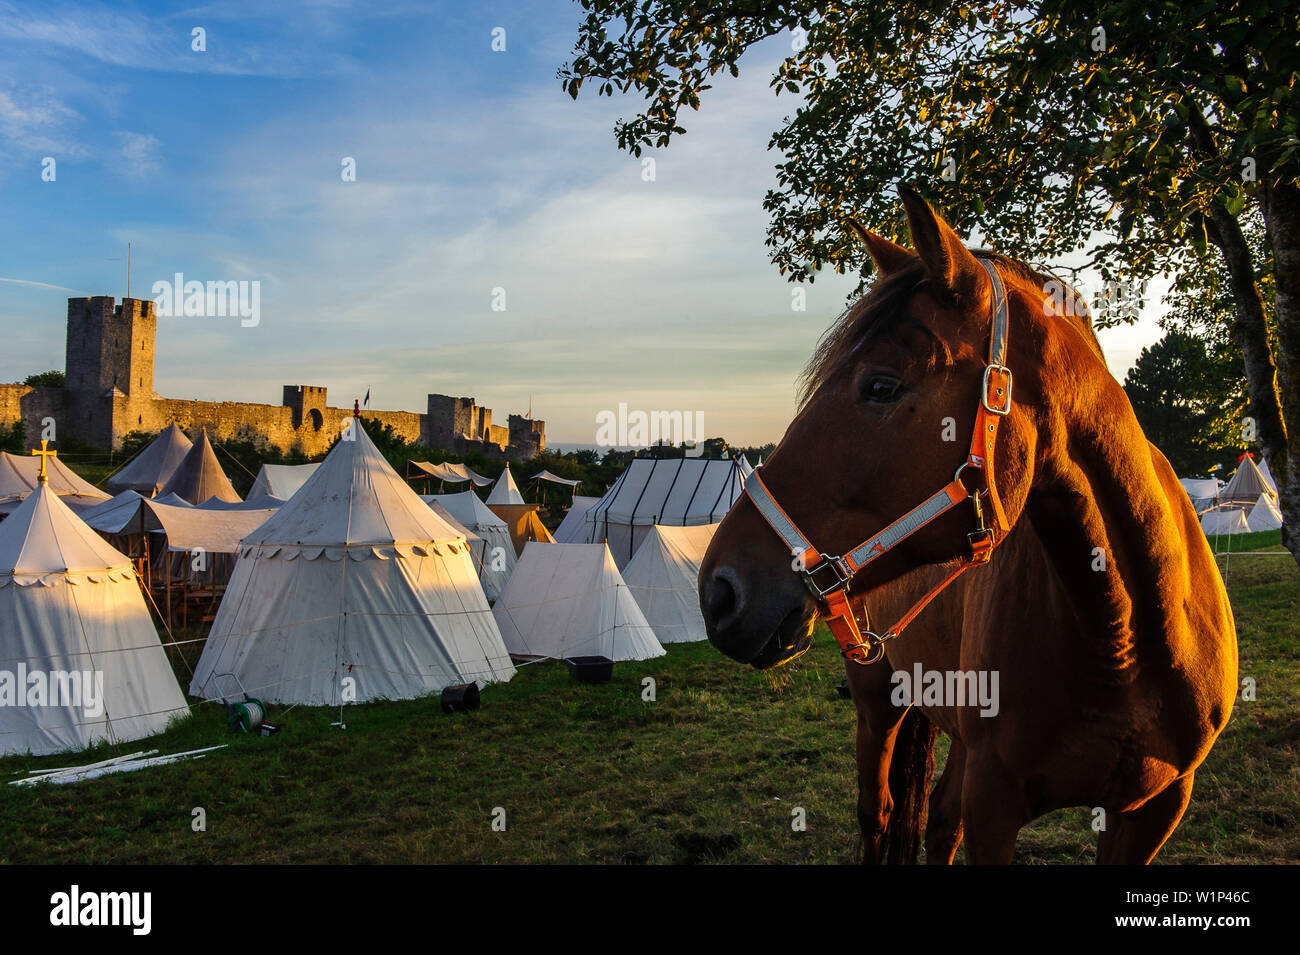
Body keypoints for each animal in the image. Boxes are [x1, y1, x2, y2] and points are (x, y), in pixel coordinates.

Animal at [702, 187, 1237, 867]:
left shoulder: (1154, 810)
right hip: (878, 703)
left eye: (881, 385)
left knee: (937, 820)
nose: (719, 590)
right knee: (878, 815)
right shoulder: (994, 806)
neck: (1126, 636)